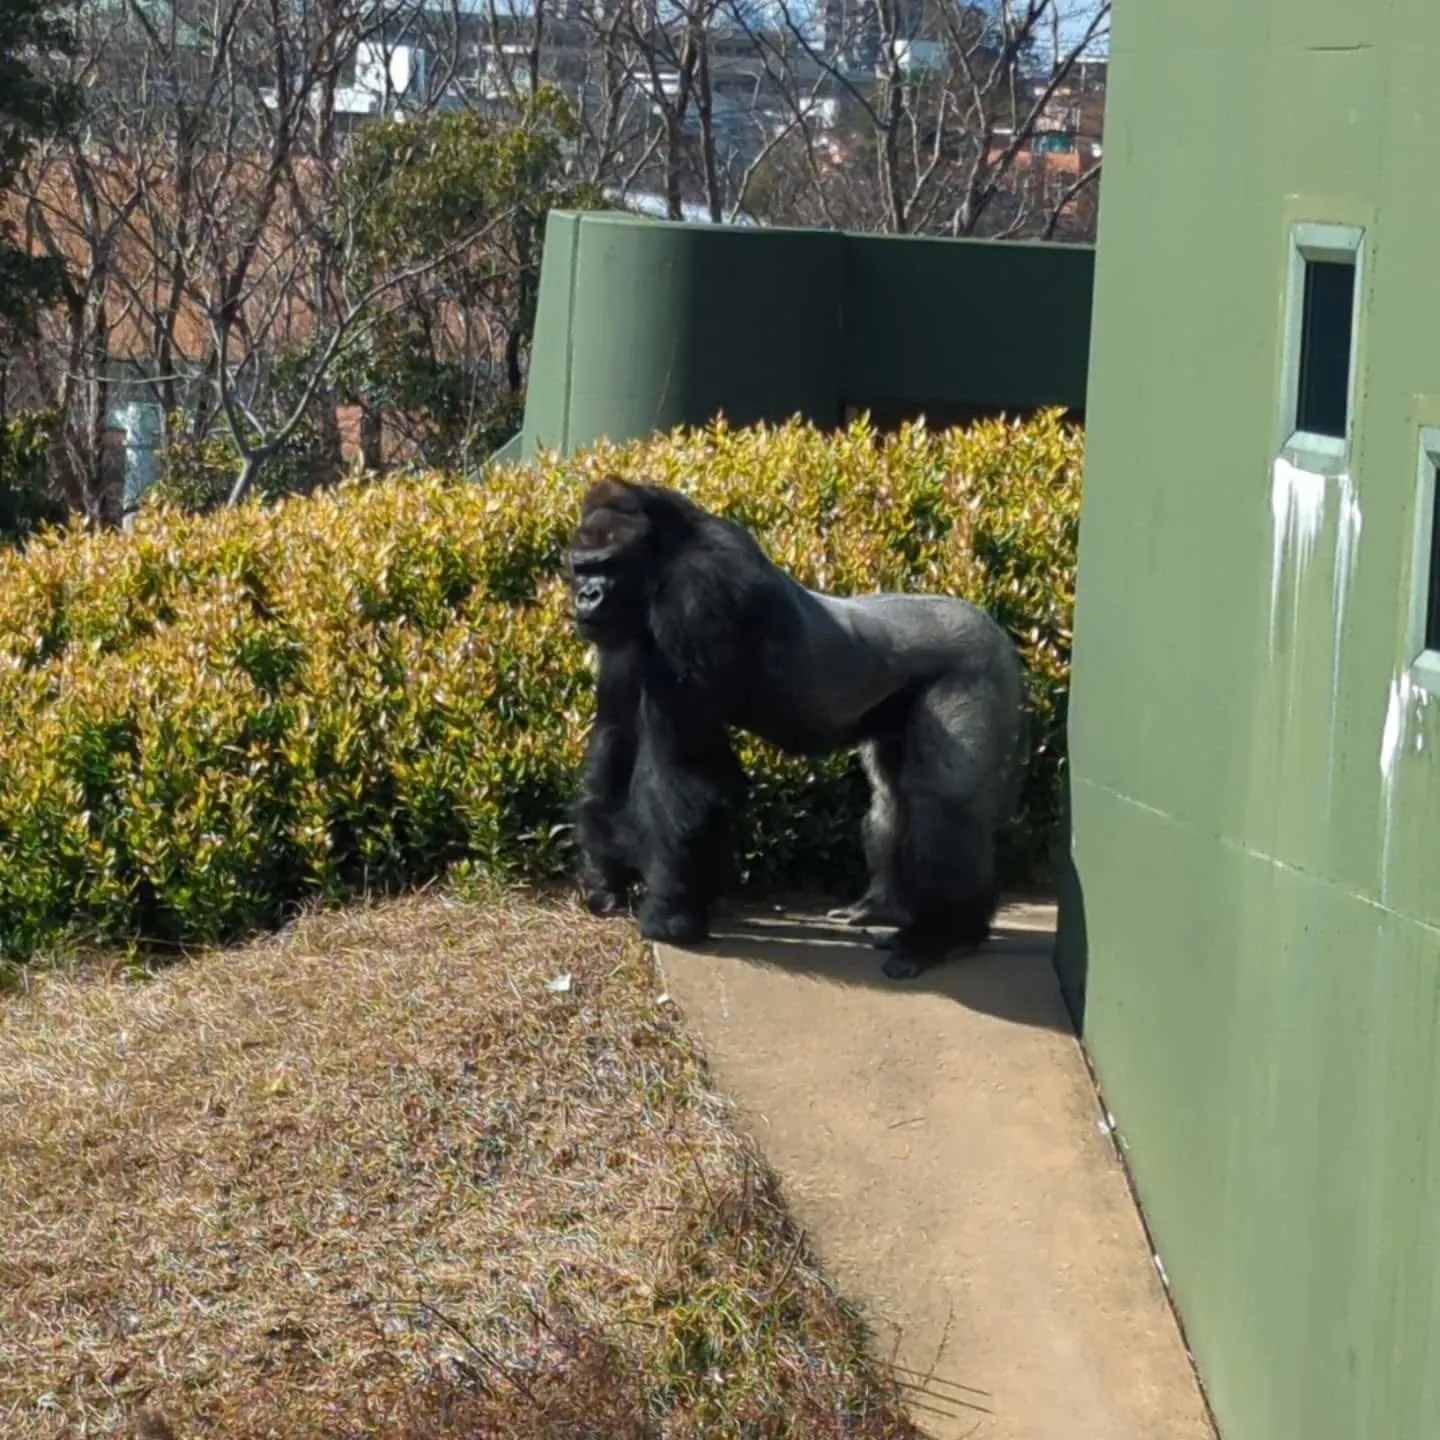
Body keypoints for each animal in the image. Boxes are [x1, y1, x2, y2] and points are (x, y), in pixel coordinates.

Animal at [567, 478, 1031, 984]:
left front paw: (669, 913)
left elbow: (684, 772)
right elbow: (615, 742)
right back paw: (884, 905)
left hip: (977, 662)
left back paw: (944, 934)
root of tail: (994, 626)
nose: (586, 597)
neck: (663, 553)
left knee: (942, 799)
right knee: (892, 792)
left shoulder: (697, 598)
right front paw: (604, 879)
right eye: (579, 568)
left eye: (608, 565)